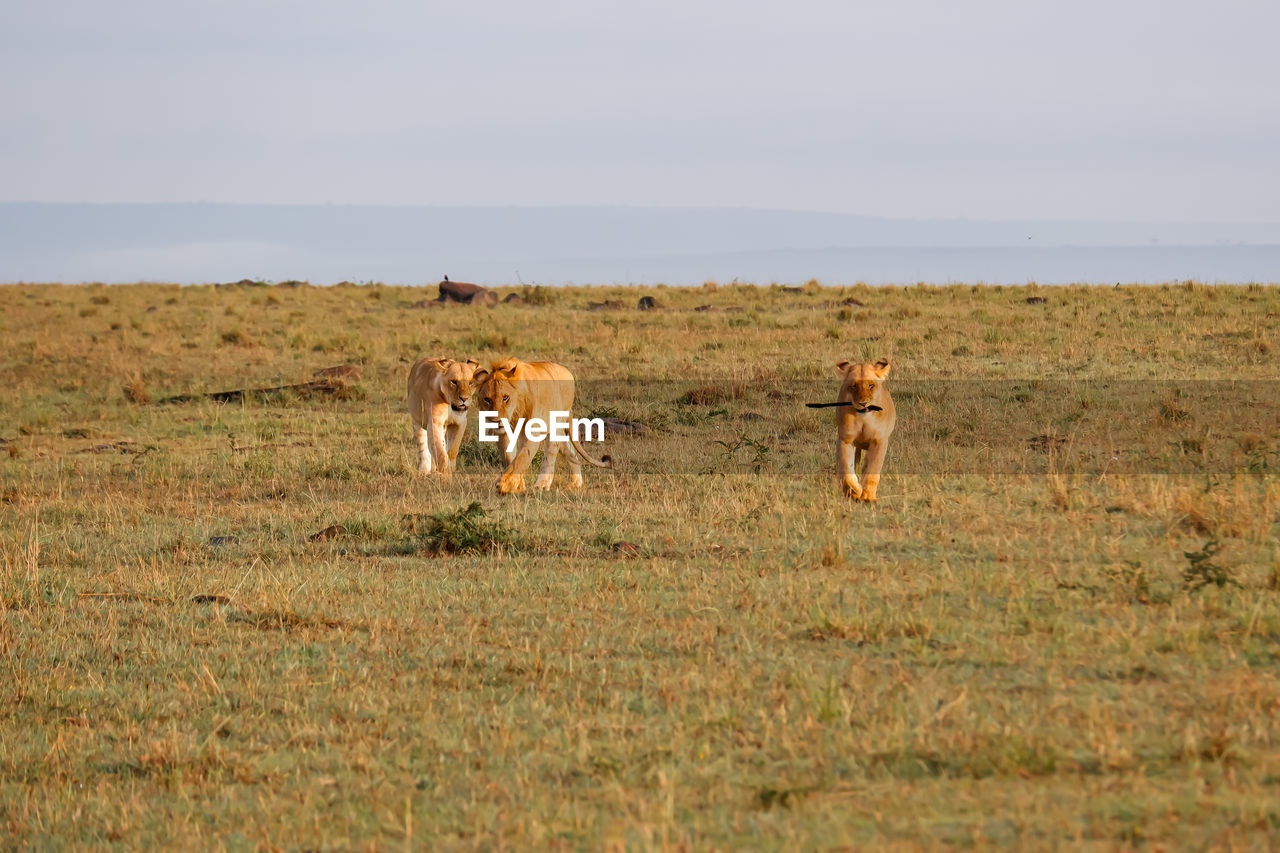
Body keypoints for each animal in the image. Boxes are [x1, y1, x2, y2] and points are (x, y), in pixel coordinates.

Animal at [476, 356, 614, 491]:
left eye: (505, 397)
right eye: (487, 400)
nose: (495, 421)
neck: (516, 411)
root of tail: (567, 372)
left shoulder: (532, 430)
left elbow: (522, 458)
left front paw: (504, 485)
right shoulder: (504, 433)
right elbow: (509, 458)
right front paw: (518, 485)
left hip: (556, 423)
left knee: (551, 454)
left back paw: (542, 485)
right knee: (570, 452)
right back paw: (575, 483)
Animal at [834, 356, 896, 499]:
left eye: (870, 385)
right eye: (854, 386)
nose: (863, 403)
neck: (863, 418)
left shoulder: (879, 441)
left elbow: (872, 469)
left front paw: (867, 496)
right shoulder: (845, 440)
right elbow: (847, 470)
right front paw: (854, 491)